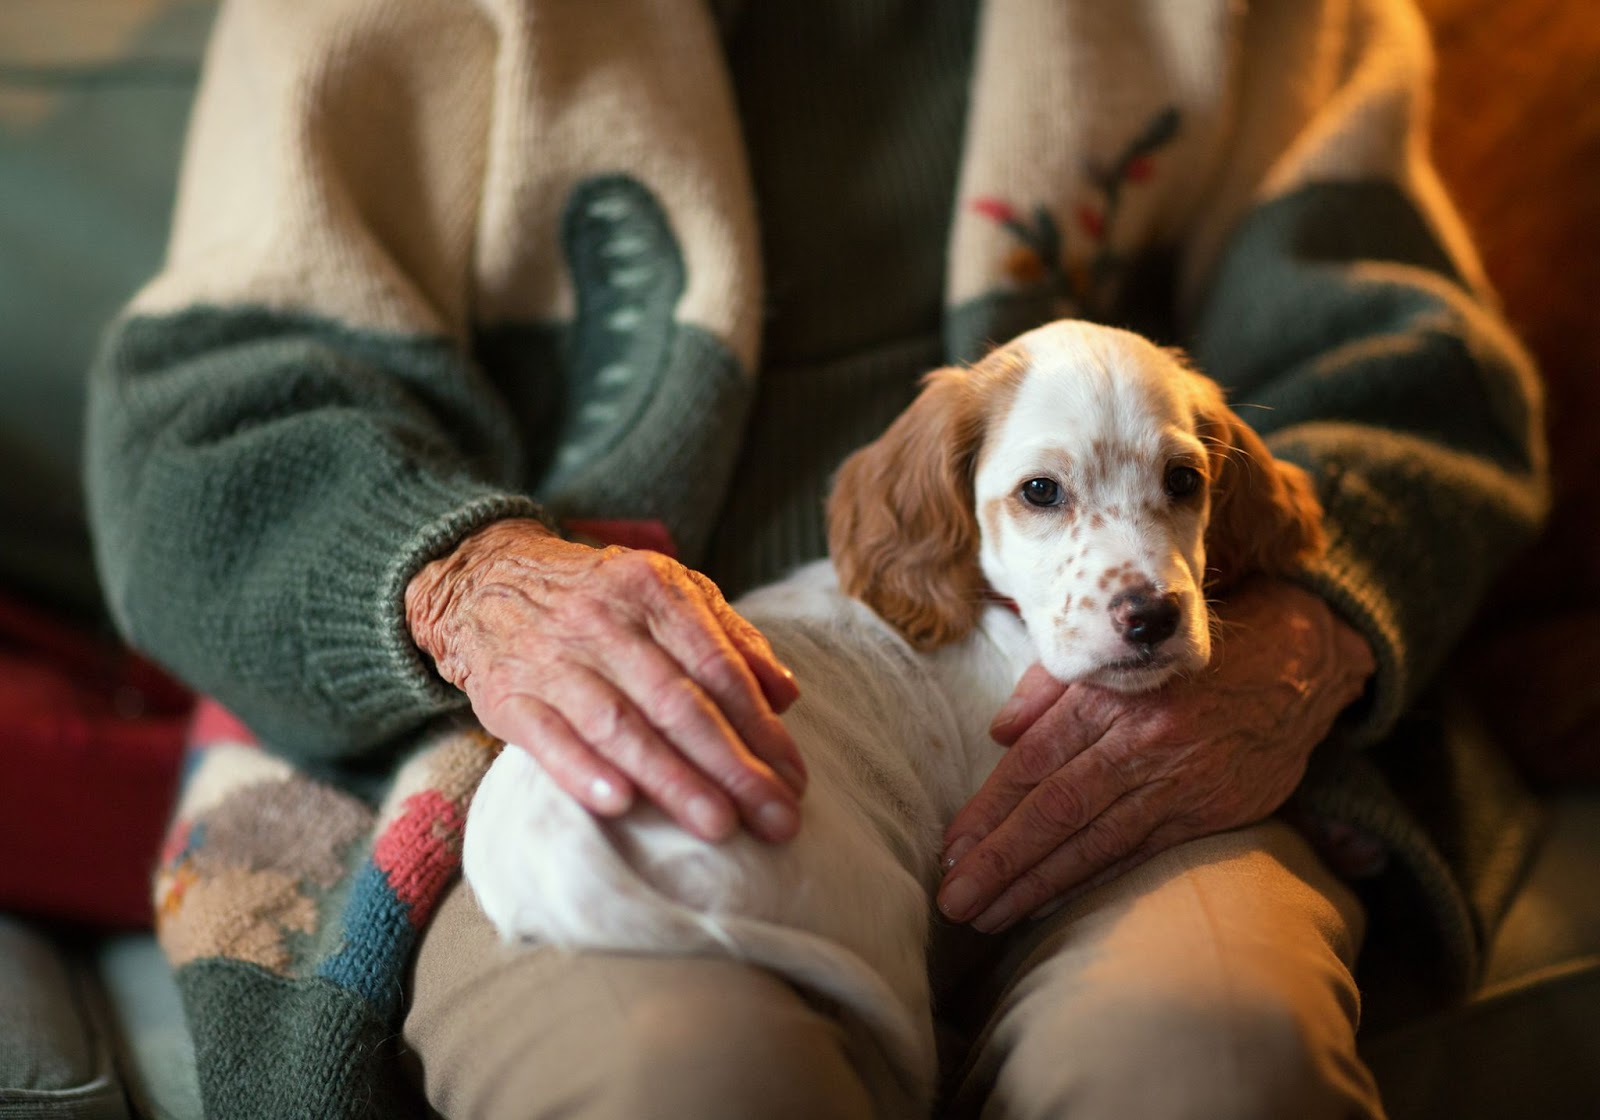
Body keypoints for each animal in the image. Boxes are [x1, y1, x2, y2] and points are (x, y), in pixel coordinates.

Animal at [457, 320, 1318, 1113]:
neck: (994, 614)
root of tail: (576, 870)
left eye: (1184, 480)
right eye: (1041, 491)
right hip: (879, 915)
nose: (1153, 619)